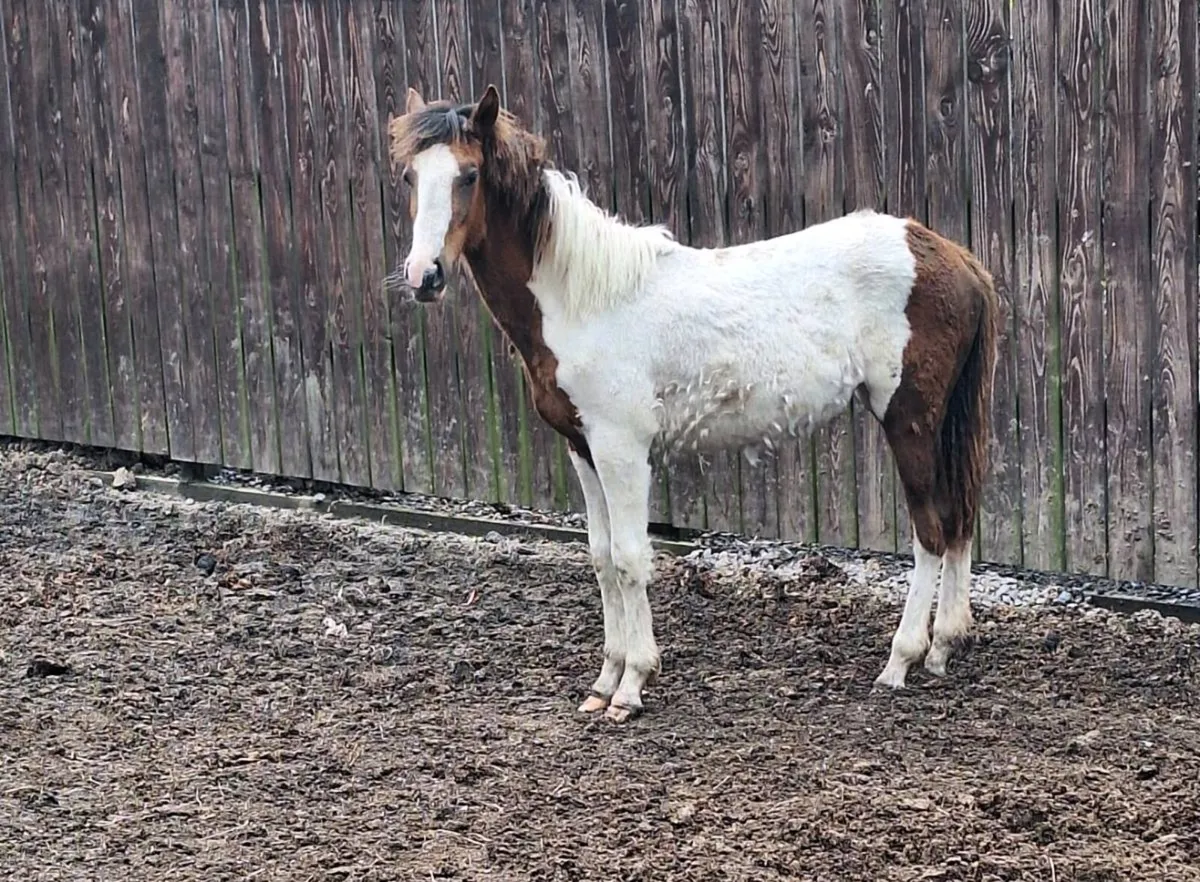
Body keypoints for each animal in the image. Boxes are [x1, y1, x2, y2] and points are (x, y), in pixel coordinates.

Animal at [386, 84, 999, 722]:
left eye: (470, 175)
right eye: (408, 176)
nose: (423, 275)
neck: (585, 299)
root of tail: (951, 256)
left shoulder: (623, 449)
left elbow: (630, 558)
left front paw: (632, 686)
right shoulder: (584, 448)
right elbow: (601, 558)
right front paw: (603, 681)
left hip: (909, 419)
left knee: (931, 532)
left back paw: (900, 661)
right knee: (958, 520)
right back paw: (943, 647)